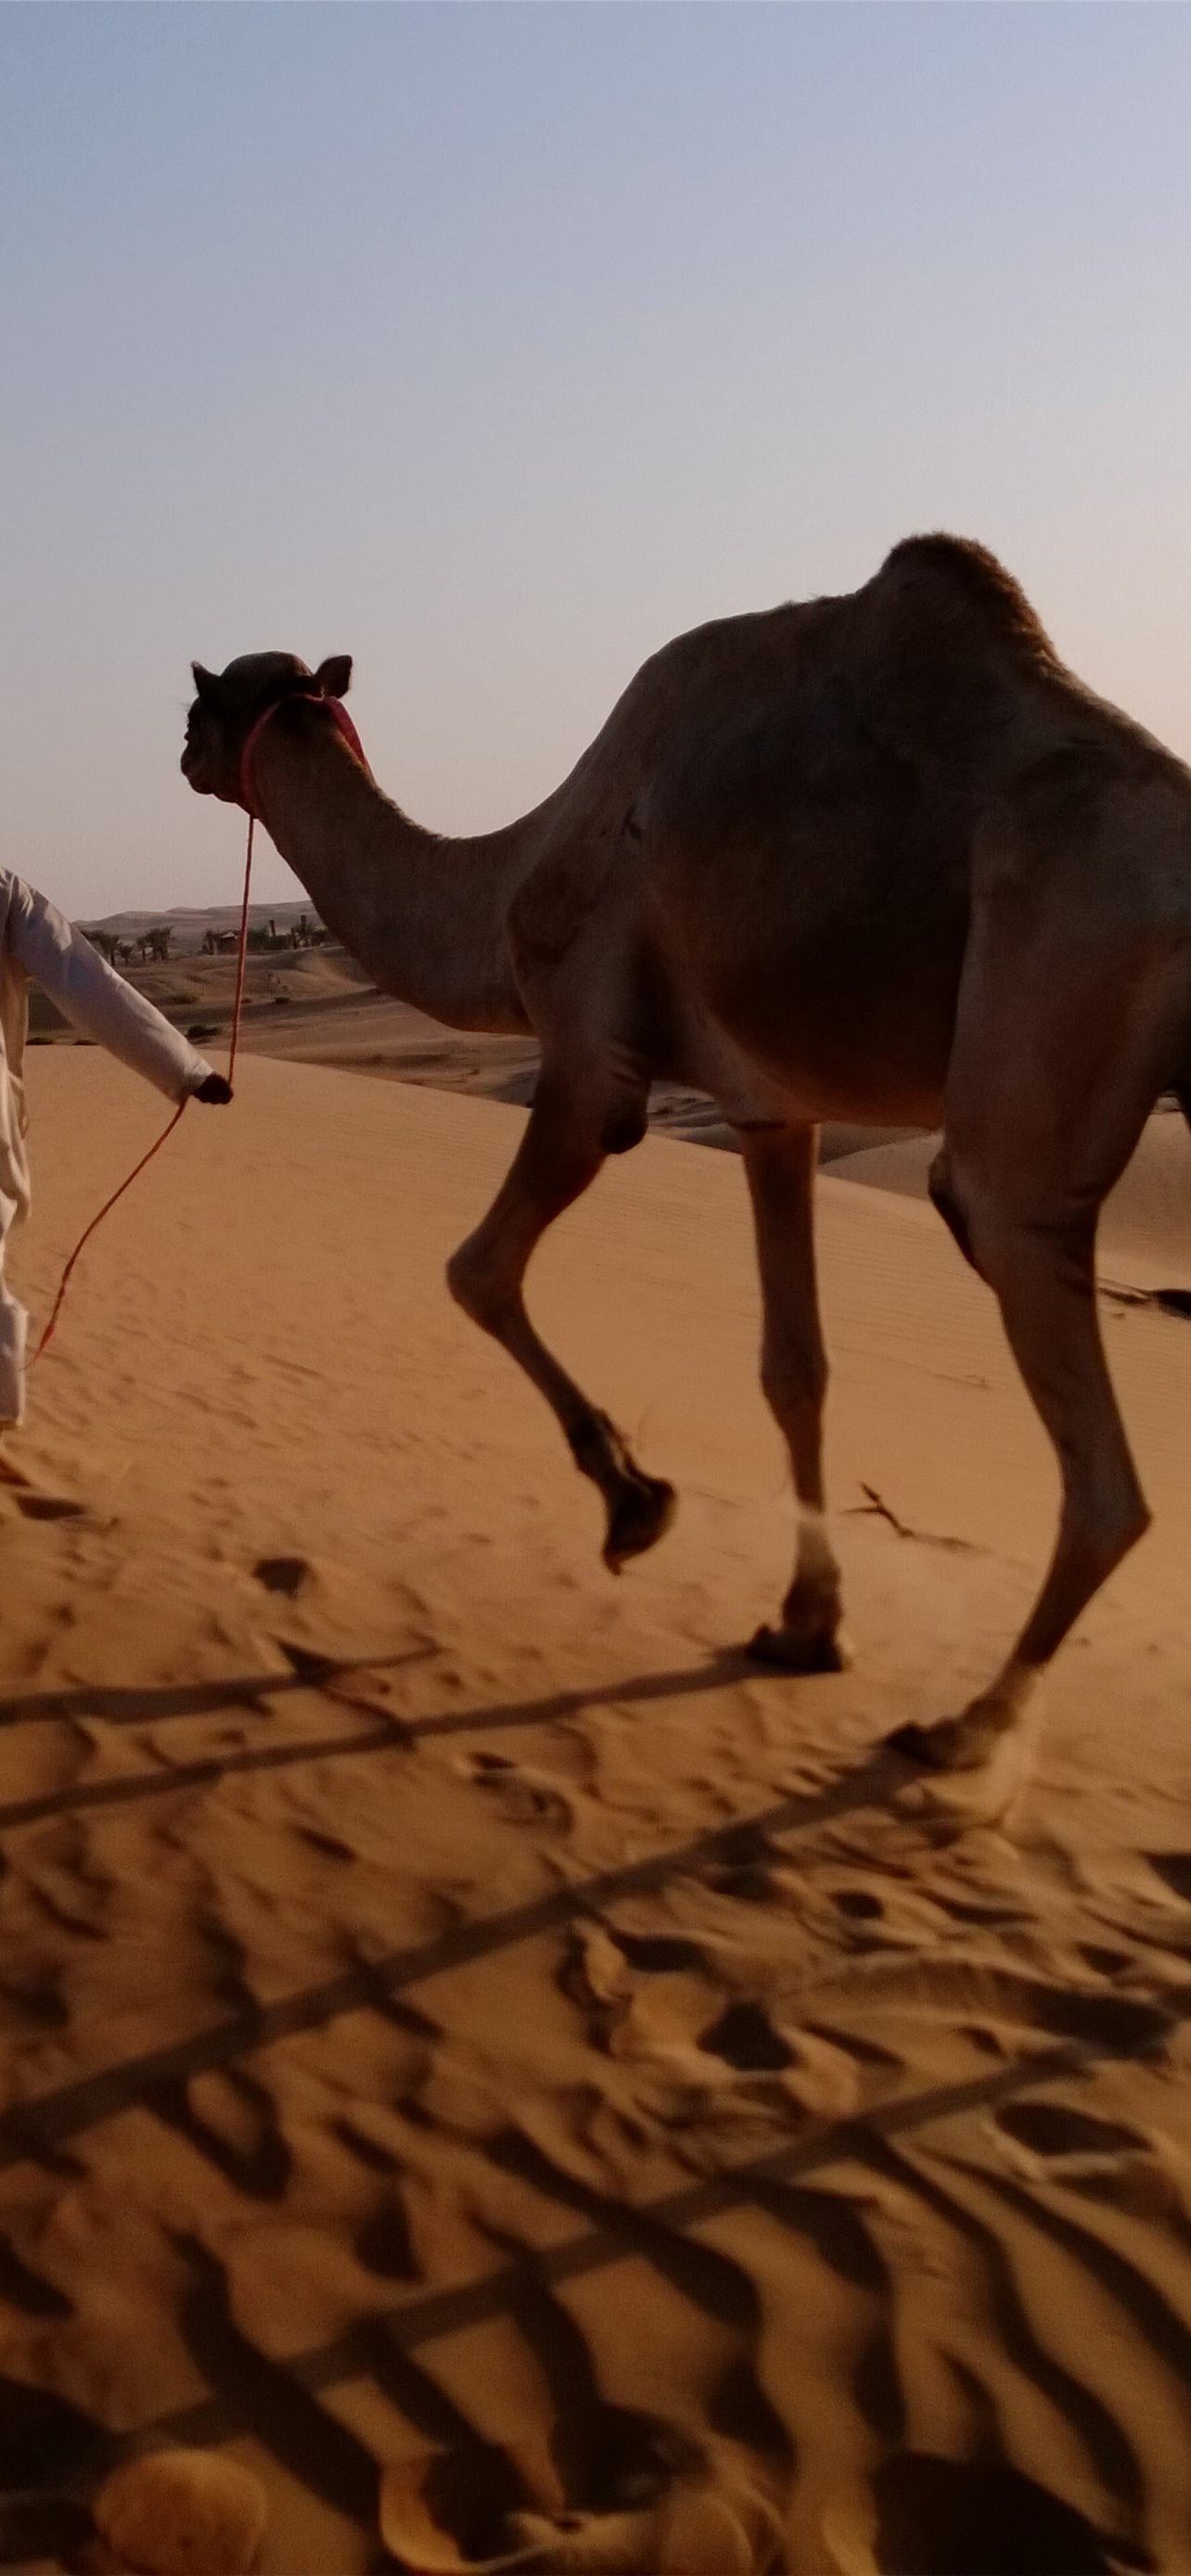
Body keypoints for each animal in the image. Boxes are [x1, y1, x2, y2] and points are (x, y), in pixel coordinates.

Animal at [182, 535, 1191, 1777]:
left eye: (203, 698)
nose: (183, 751)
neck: (508, 884)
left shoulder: (590, 1060)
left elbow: (477, 1269)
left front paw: (635, 1504)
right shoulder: (773, 1109)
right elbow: (793, 1367)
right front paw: (806, 1624)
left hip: (1049, 1010)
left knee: (1089, 1446)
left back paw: (967, 1730)